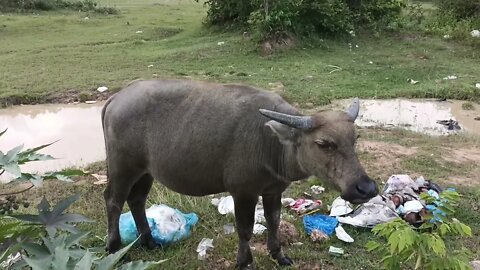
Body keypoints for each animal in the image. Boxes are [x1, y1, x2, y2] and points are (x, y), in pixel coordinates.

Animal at [102, 79, 378, 268]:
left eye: (355, 139)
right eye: (324, 143)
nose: (366, 188)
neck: (271, 143)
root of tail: (116, 98)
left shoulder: (273, 191)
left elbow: (274, 221)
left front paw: (279, 255)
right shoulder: (243, 192)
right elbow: (245, 229)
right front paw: (245, 261)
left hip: (145, 171)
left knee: (136, 200)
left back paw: (149, 242)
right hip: (122, 167)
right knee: (113, 200)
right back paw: (114, 248)